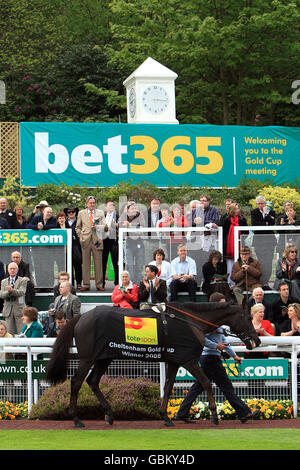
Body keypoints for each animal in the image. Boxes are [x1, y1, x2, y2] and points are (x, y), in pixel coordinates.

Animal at [46, 302, 260, 428]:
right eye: (248, 317)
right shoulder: (188, 359)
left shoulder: (174, 360)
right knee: (76, 382)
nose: (256, 340)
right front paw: (215, 416)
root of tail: (82, 316)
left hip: (104, 357)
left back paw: (109, 414)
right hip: (88, 358)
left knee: (93, 381)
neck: (190, 321)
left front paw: (165, 417)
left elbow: (168, 386)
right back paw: (76, 419)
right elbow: (207, 382)